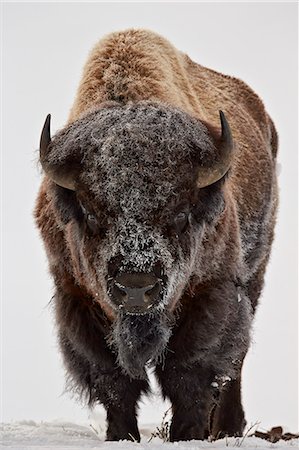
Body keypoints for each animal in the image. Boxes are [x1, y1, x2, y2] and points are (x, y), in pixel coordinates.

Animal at [34, 29, 278, 442]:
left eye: (180, 215)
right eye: (90, 214)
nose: (136, 287)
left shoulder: (212, 291)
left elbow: (190, 371)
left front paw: (187, 433)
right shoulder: (76, 296)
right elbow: (113, 378)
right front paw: (121, 435)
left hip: (254, 275)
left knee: (235, 363)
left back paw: (228, 427)